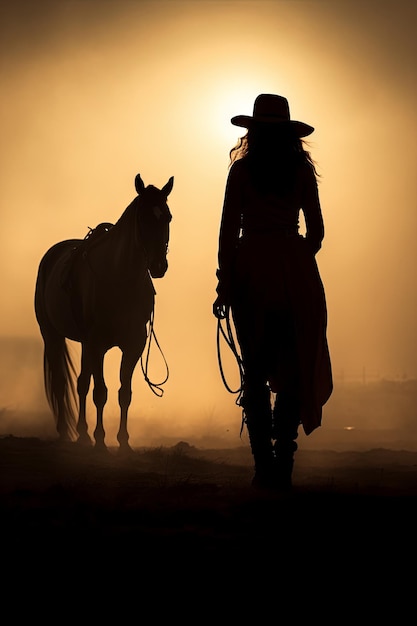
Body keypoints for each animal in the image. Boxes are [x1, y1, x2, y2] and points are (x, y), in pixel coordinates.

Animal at [33, 173, 174, 450]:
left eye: (167, 217)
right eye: (142, 218)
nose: (158, 265)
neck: (120, 278)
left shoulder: (133, 344)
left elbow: (124, 393)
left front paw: (123, 441)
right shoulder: (98, 344)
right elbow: (101, 392)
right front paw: (100, 441)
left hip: (85, 344)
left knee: (81, 383)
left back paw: (82, 434)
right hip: (52, 335)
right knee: (61, 383)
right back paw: (65, 433)